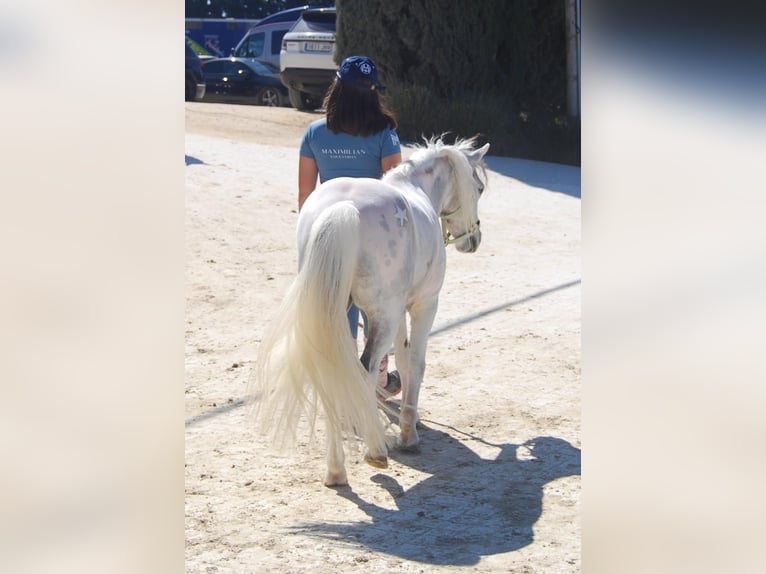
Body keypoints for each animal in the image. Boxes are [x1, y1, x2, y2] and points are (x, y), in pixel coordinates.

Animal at [249, 136, 490, 486]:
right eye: (479, 188)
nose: (473, 239)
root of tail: (343, 208)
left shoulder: (398, 308)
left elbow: (402, 358)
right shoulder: (423, 304)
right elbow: (415, 362)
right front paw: (408, 435)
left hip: (333, 311)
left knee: (335, 371)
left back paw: (336, 469)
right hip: (382, 316)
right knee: (364, 371)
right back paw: (375, 450)